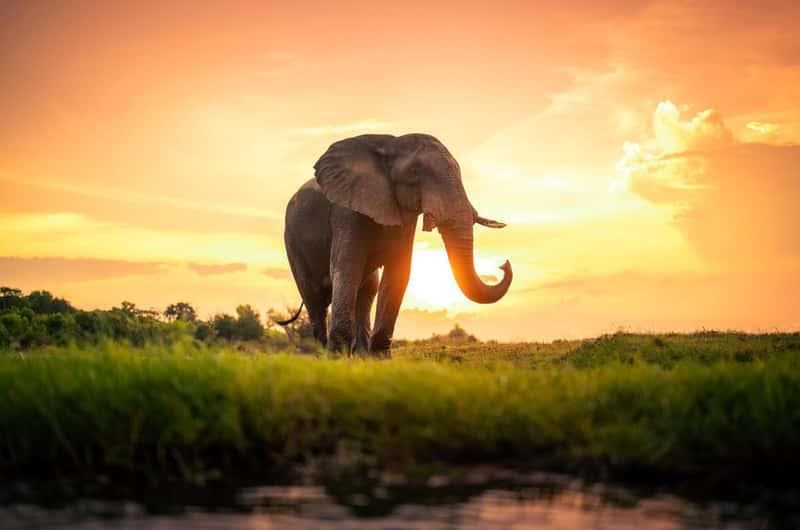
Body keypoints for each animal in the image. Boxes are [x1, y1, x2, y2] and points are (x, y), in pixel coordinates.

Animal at [278, 133, 512, 355]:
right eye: (415, 174)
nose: (503, 264)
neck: (389, 144)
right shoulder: (346, 212)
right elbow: (346, 268)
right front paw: (336, 360)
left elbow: (398, 271)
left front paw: (380, 359)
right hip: (292, 242)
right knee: (314, 297)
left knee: (366, 290)